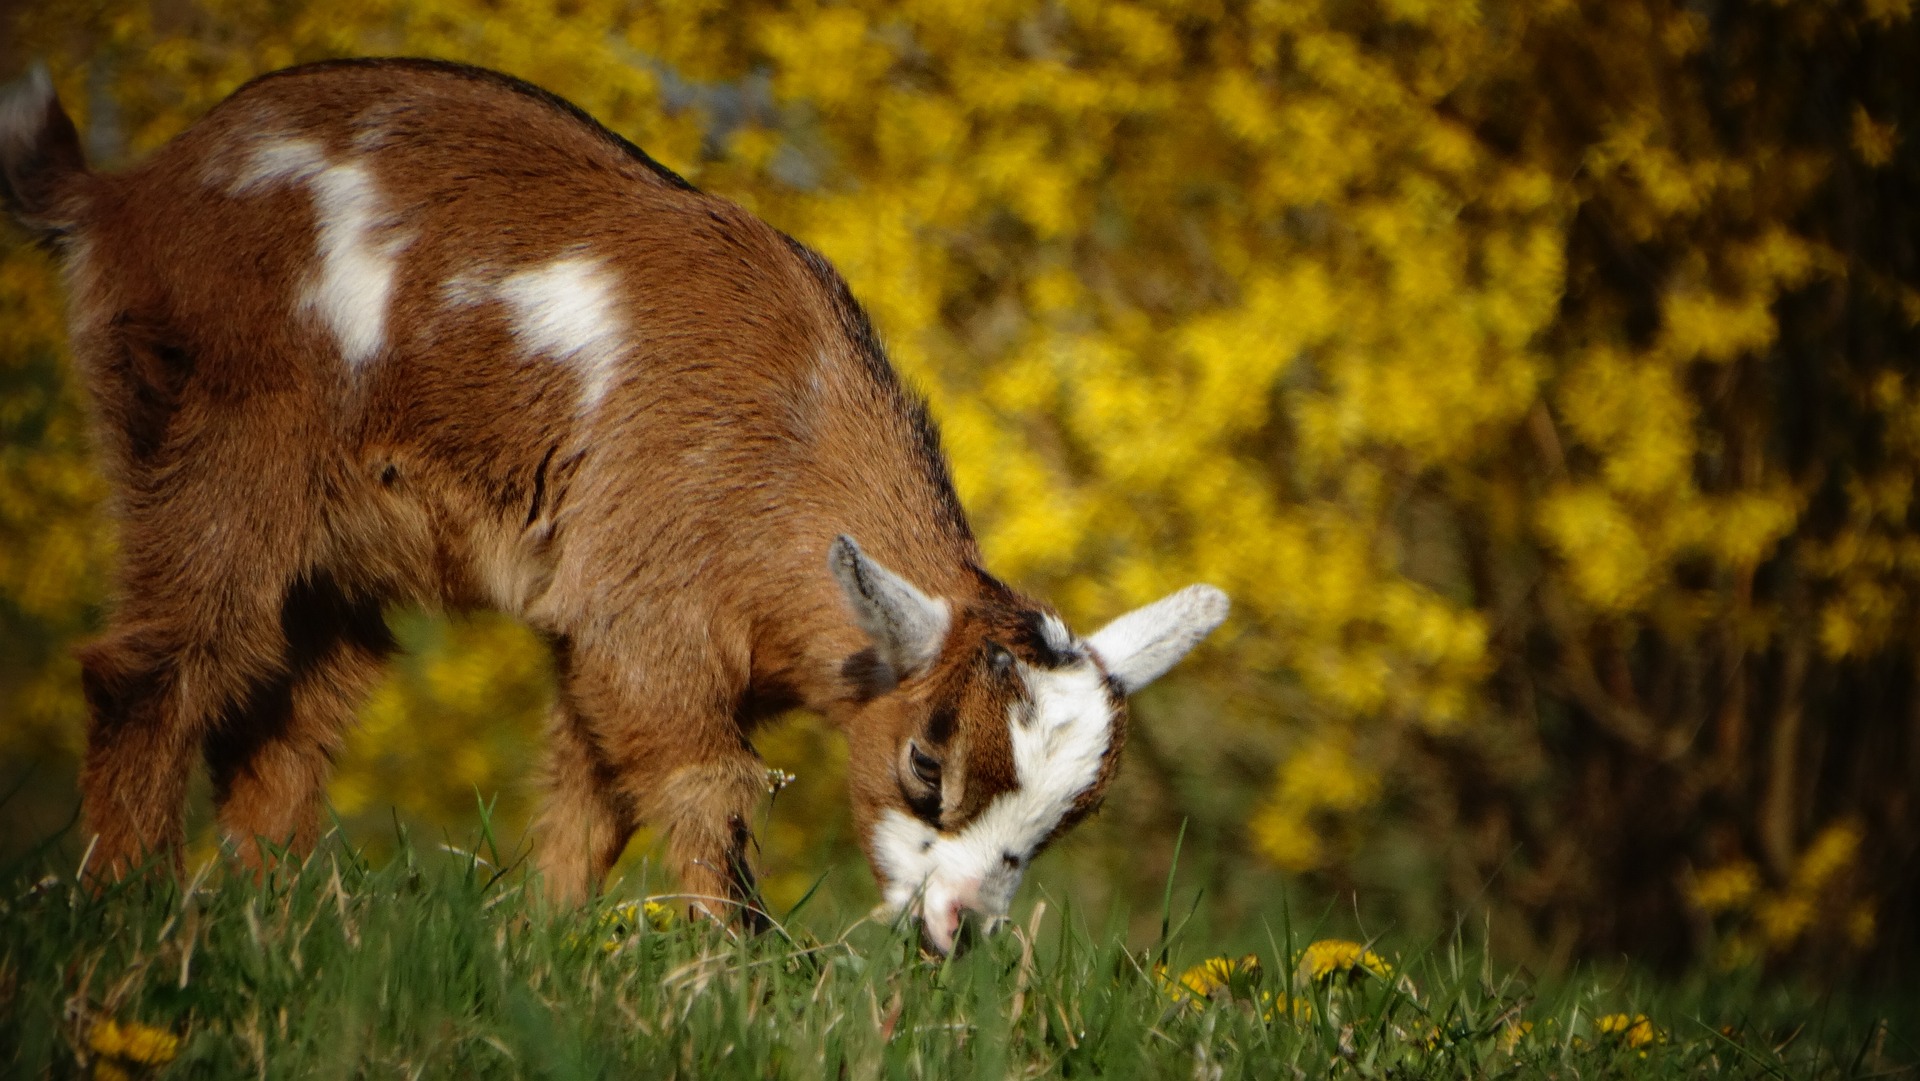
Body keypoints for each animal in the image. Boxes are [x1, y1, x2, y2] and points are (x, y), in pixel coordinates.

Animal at [0, 58, 1227, 952]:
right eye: (929, 764)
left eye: (1073, 813)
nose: (954, 929)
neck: (788, 436)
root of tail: (124, 195)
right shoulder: (646, 606)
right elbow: (702, 784)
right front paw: (735, 968)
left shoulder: (622, 624)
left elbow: (590, 791)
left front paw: (540, 942)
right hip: (219, 424)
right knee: (159, 662)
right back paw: (117, 903)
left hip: (337, 547)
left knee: (295, 707)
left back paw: (269, 907)